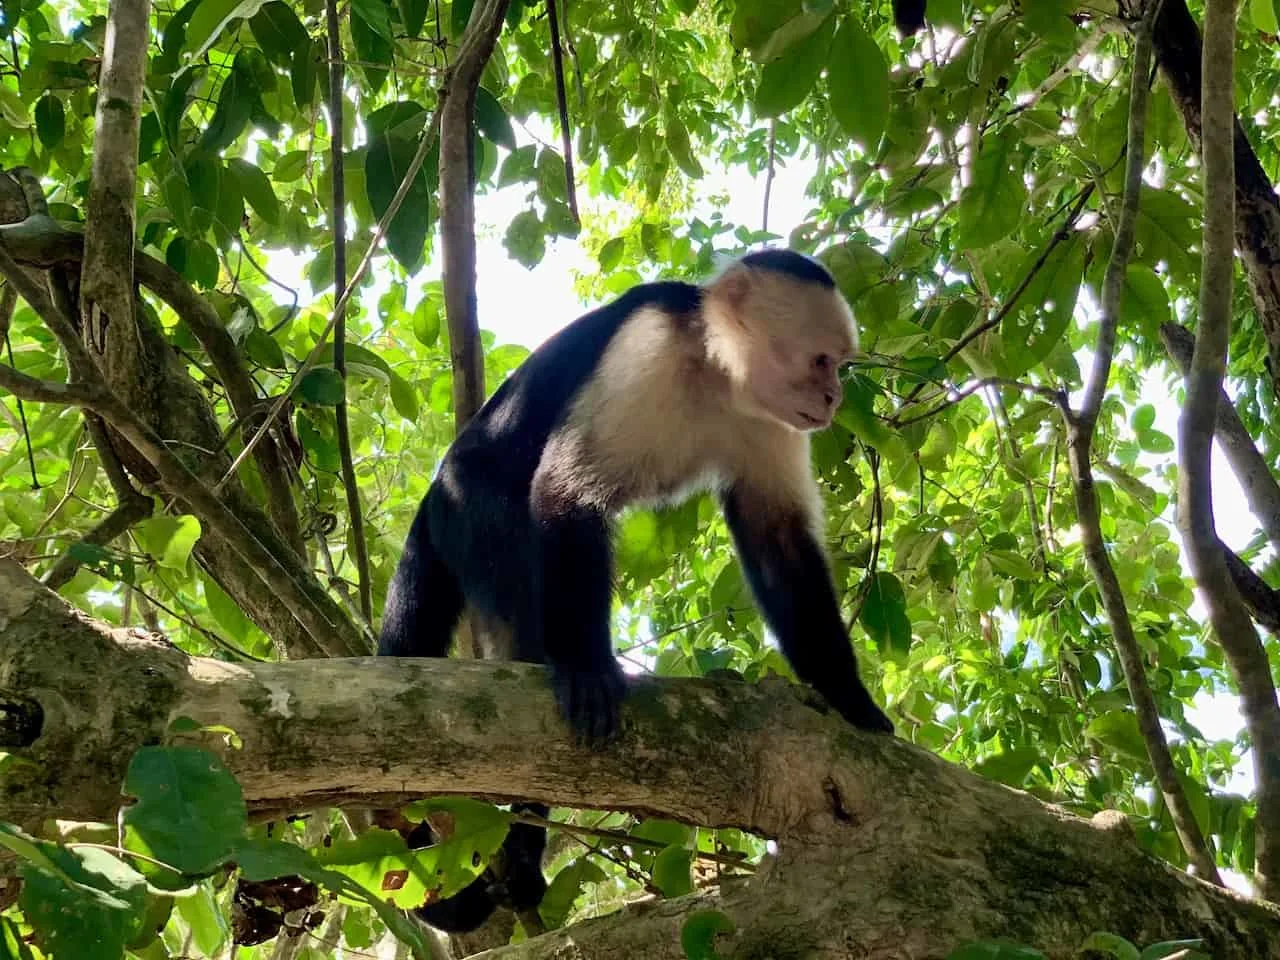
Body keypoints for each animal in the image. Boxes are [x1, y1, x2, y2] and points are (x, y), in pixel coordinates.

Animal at [381, 248, 890, 931]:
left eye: (839, 364)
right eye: (820, 361)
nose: (833, 397)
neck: (715, 376)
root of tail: (437, 490)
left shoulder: (771, 423)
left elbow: (778, 541)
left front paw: (848, 696)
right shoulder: (648, 350)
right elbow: (565, 493)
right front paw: (588, 667)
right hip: (470, 507)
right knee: (521, 617)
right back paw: (523, 846)